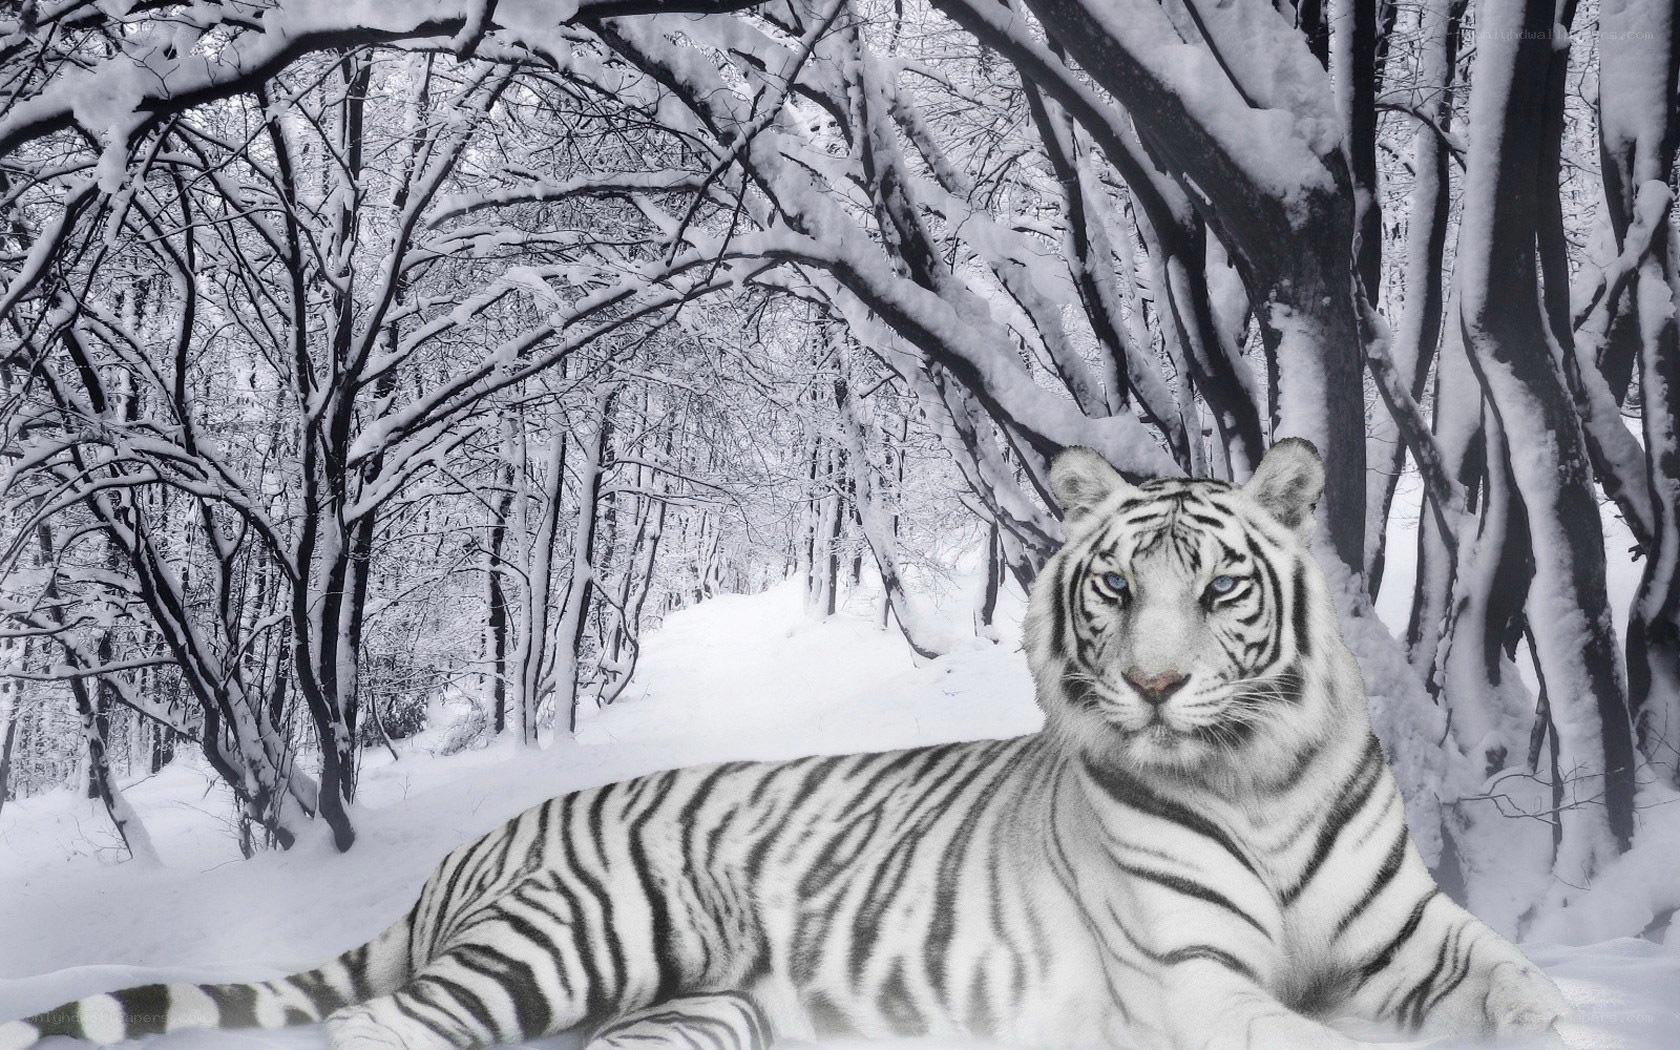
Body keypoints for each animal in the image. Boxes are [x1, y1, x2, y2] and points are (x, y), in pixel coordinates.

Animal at [1, 439, 1567, 1050]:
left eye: (1220, 588)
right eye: (1117, 587)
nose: (1157, 686)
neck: (1256, 777)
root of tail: (470, 850)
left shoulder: (1416, 933)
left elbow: (1530, 990)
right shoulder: (1195, 984)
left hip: (695, 1014)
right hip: (578, 934)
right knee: (380, 1029)